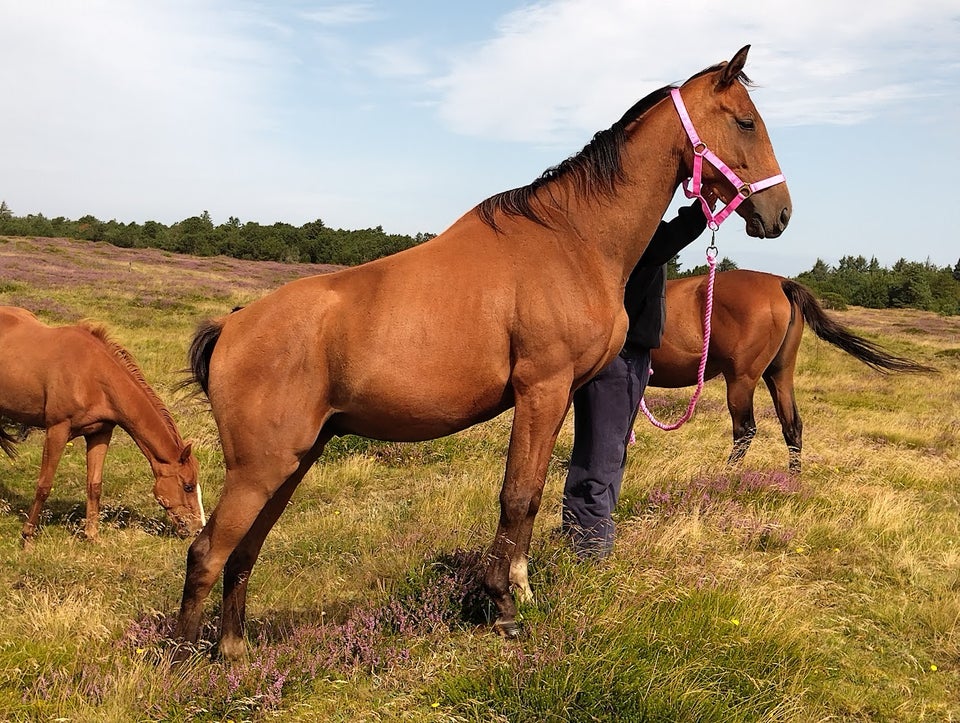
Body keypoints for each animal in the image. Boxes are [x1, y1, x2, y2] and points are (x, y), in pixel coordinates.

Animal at [0, 306, 206, 548]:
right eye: (188, 486)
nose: (197, 528)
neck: (92, 375)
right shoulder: (57, 430)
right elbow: (44, 485)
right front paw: (28, 536)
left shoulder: (100, 433)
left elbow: (94, 485)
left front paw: (92, 536)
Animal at [176, 42, 792, 660]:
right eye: (745, 122)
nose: (781, 213)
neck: (573, 239)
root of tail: (230, 327)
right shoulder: (541, 388)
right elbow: (516, 495)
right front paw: (502, 606)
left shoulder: (558, 396)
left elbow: (535, 493)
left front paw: (521, 589)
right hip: (262, 467)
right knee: (207, 552)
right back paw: (182, 660)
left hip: (293, 460)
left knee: (243, 550)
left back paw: (234, 653)